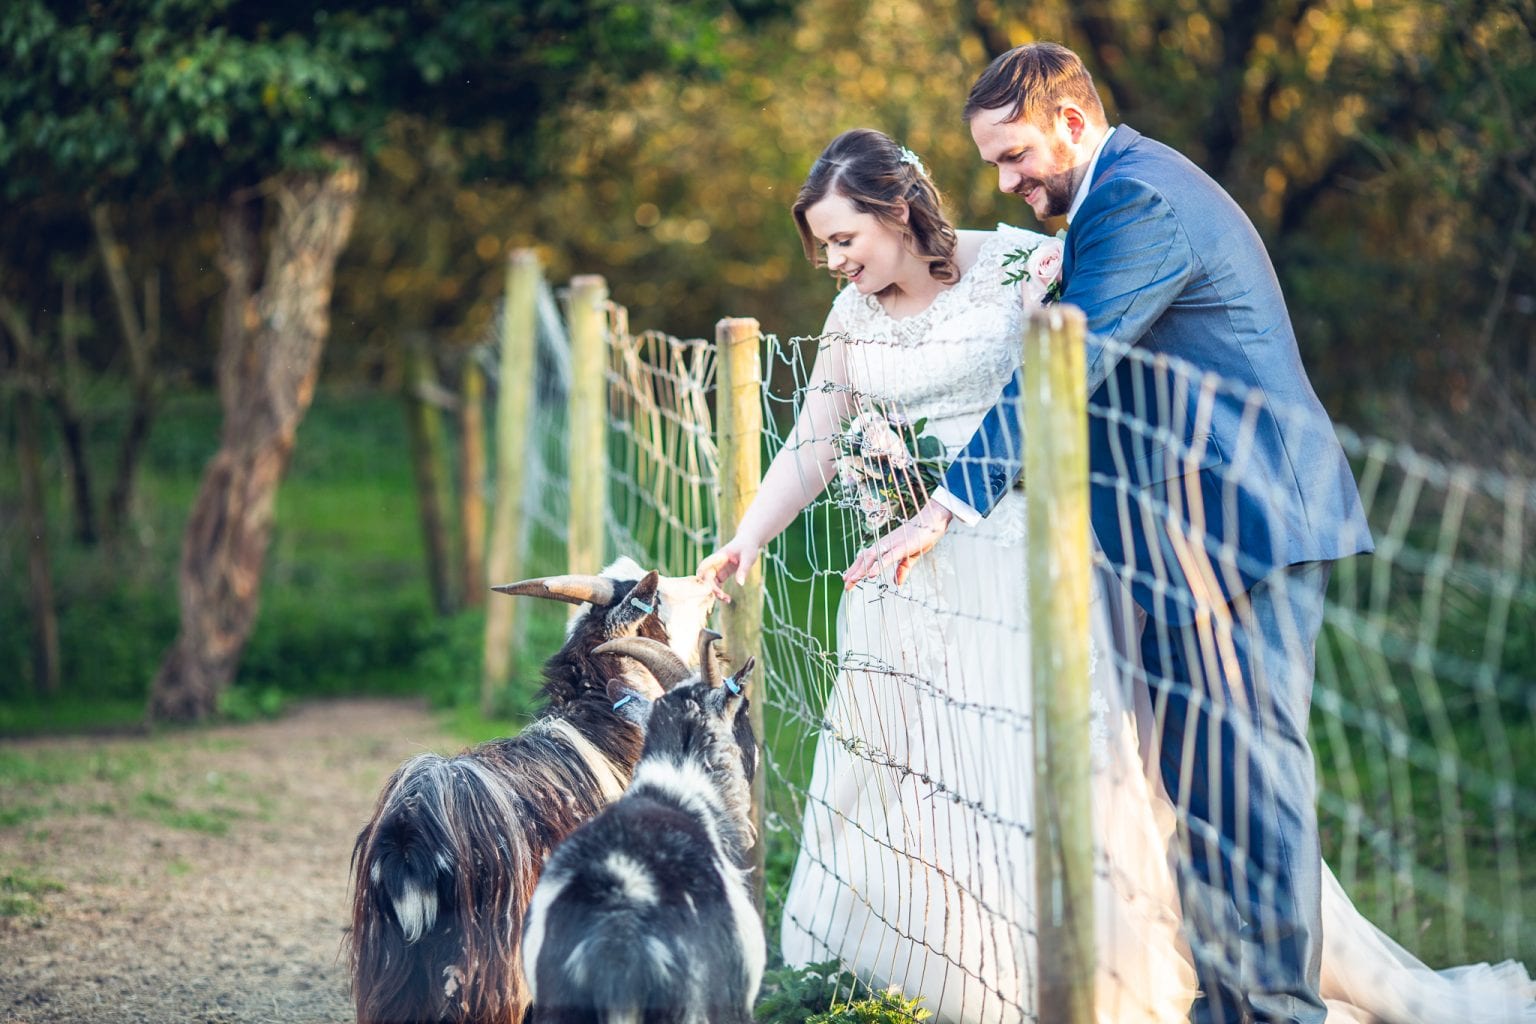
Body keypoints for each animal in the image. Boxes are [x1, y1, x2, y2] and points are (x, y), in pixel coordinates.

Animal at [353, 561, 718, 1024]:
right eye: (656, 598)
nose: (707, 583)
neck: (599, 732)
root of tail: (411, 840)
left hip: (392, 973)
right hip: (493, 973)